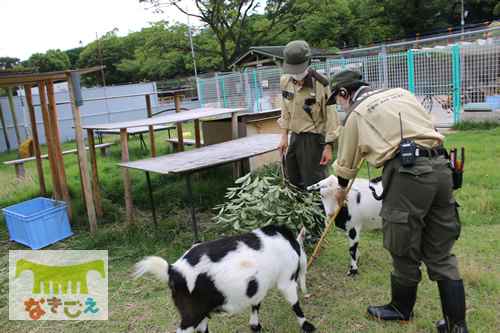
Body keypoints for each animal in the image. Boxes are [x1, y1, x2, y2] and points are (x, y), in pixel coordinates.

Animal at [133, 223, 312, 332]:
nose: (305, 290)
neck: (291, 244)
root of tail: (172, 270)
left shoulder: (258, 286)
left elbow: (256, 303)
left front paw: (255, 325)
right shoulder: (287, 279)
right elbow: (295, 304)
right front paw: (307, 326)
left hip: (200, 312)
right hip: (192, 313)